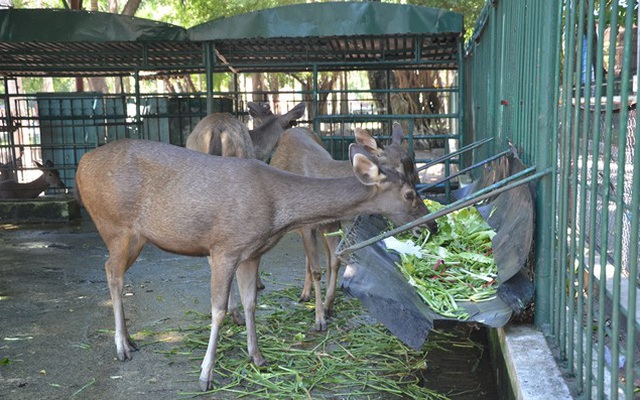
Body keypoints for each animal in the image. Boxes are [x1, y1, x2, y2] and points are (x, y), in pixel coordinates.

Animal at [268, 125, 438, 332]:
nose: (431, 224)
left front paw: (328, 307)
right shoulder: (307, 226)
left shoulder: (333, 223)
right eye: (397, 170)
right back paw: (303, 294)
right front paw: (319, 319)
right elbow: (317, 269)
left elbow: (334, 261)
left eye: (413, 166)